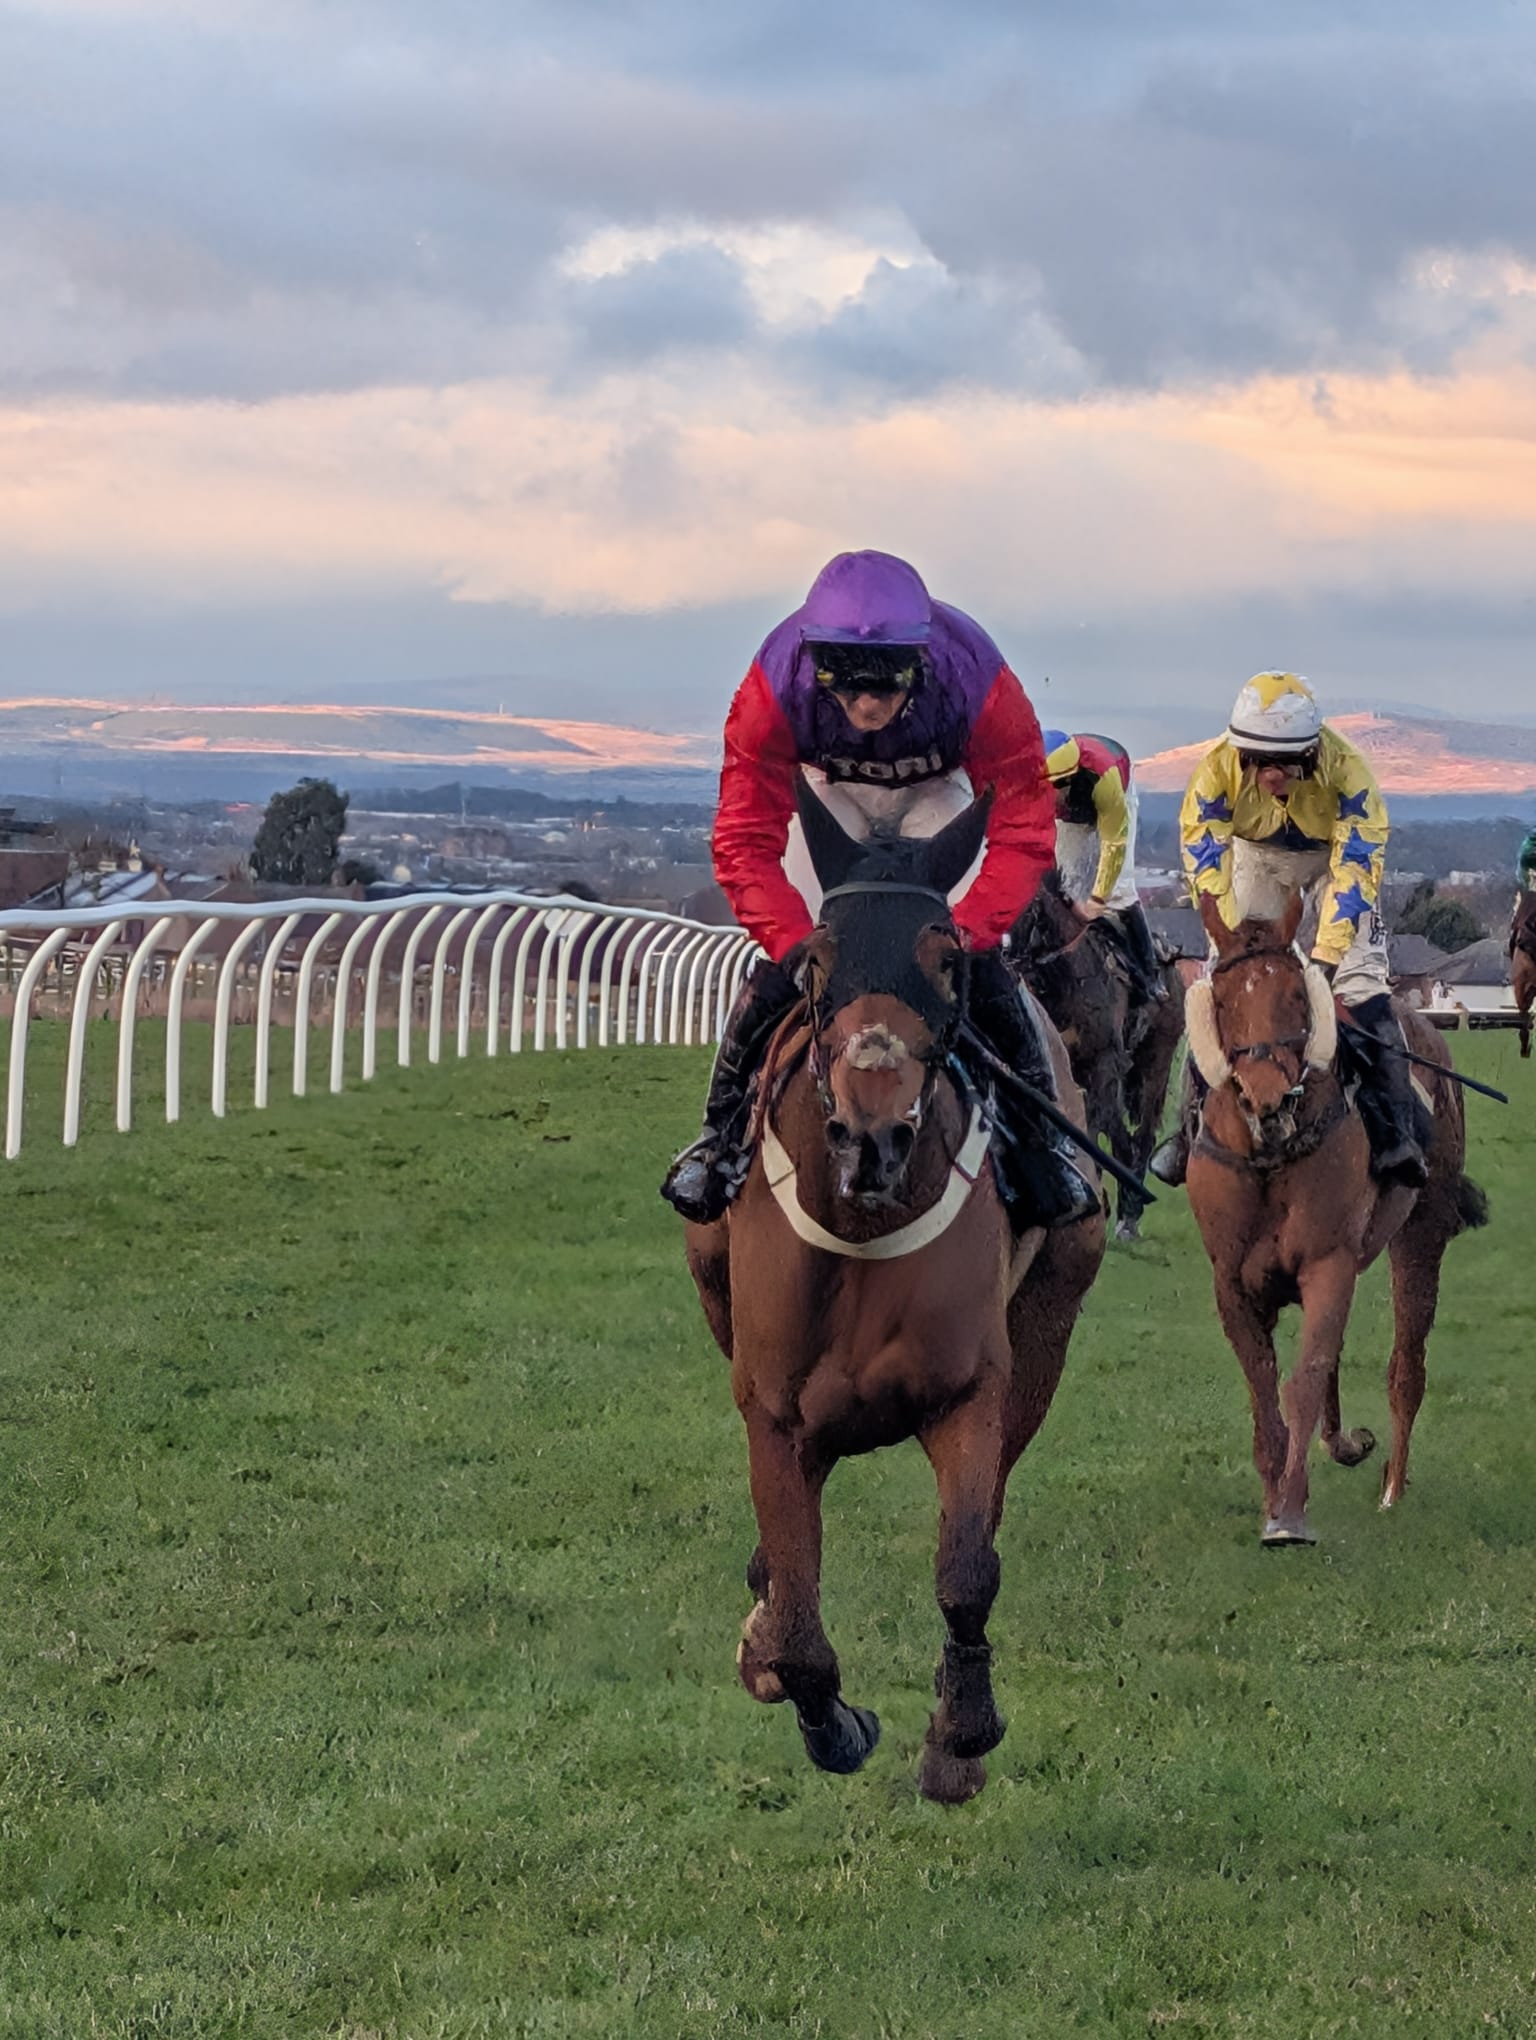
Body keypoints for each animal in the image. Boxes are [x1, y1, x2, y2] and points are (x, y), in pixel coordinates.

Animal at [684, 788, 1106, 1804]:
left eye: (946, 962)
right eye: (816, 962)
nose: (870, 1133)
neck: (865, 1229)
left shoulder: (970, 1393)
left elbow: (968, 1567)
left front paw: (960, 1736)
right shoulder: (774, 1412)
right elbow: (799, 1622)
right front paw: (824, 1712)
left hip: (1048, 1329)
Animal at [1011, 870, 1185, 1242]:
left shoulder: (1103, 1064)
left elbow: (1091, 1127)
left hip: (1155, 1064)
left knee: (1142, 1135)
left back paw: (1129, 1216)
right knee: (1121, 1138)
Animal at [1185, 892, 1487, 1546]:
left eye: (1296, 996)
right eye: (1223, 999)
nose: (1267, 1098)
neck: (1269, 1156)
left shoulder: (1328, 1263)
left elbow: (1303, 1379)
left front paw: (1291, 1513)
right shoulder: (1231, 1280)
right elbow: (1264, 1384)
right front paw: (1274, 1495)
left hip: (1421, 1235)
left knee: (1406, 1366)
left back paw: (1392, 1489)